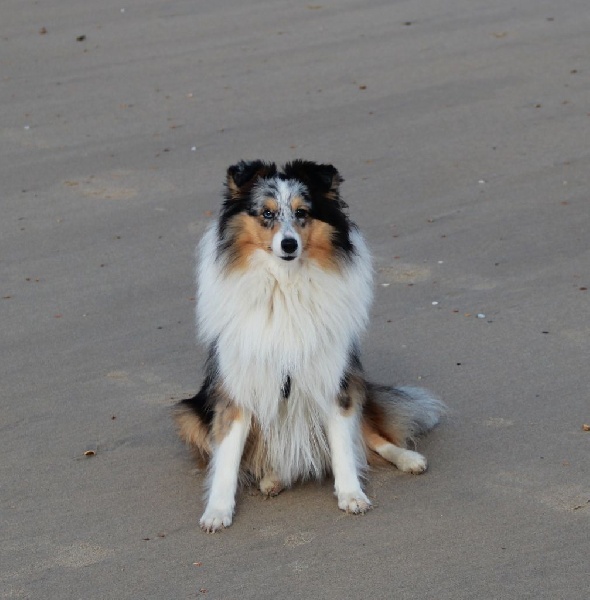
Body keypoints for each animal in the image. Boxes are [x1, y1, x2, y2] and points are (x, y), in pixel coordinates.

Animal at [175, 158, 444, 528]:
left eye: (302, 212)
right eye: (267, 213)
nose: (289, 245)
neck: (284, 286)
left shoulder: (333, 379)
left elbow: (344, 445)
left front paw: (352, 495)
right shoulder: (238, 388)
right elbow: (228, 457)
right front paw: (217, 511)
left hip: (356, 386)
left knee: (372, 437)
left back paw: (408, 458)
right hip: (190, 417)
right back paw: (272, 478)